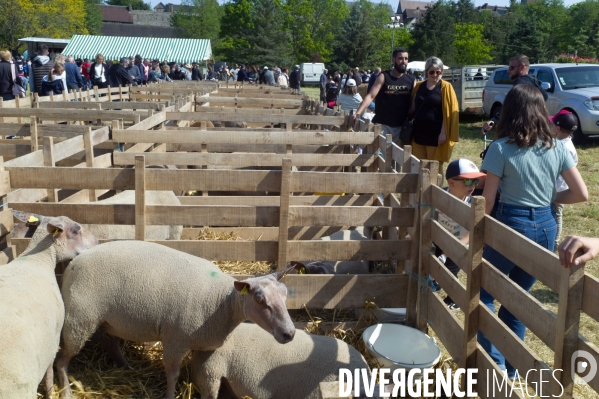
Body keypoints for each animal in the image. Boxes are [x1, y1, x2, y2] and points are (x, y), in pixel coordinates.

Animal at [0, 211, 98, 398]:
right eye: (76, 229)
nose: (97, 242)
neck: (38, 259)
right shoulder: (53, 339)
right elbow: (49, 373)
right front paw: (51, 391)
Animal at [55, 241, 302, 399]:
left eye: (285, 293)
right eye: (260, 299)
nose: (289, 334)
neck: (219, 302)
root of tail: (74, 262)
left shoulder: (204, 345)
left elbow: (203, 375)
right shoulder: (176, 339)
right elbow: (173, 374)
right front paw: (169, 395)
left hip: (108, 321)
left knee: (110, 343)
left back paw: (125, 366)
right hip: (79, 319)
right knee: (62, 359)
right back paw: (65, 391)